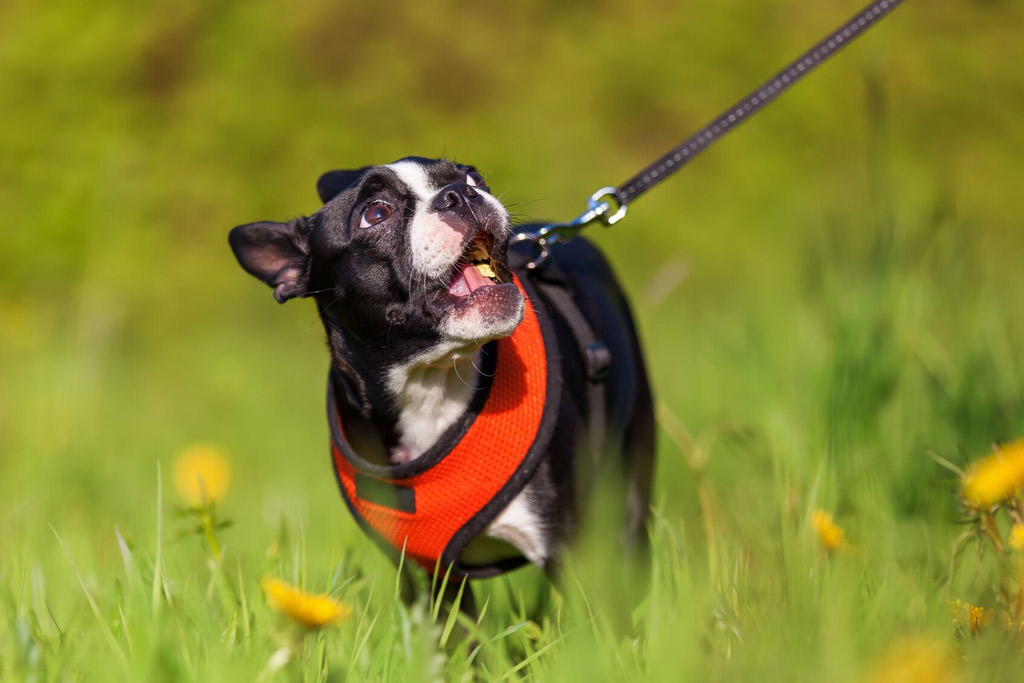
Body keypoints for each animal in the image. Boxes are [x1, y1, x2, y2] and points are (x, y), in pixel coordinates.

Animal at [228, 157, 651, 589]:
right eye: (375, 213)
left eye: (474, 178)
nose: (460, 194)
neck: (430, 386)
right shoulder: (423, 575)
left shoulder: (569, 551)